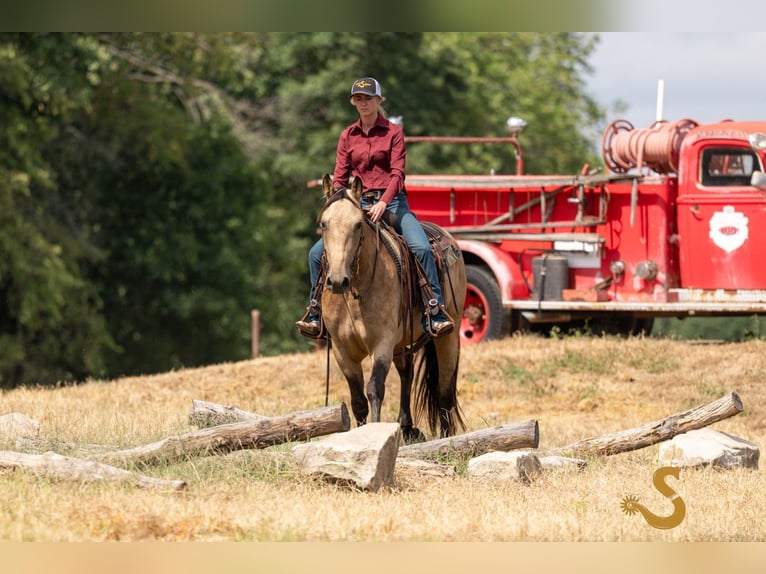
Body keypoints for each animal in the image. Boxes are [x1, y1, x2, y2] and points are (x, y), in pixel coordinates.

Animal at [316, 173, 467, 441]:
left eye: (358, 224)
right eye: (324, 224)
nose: (337, 281)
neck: (354, 293)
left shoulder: (382, 343)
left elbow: (374, 389)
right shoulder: (342, 351)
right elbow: (358, 400)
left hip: (448, 335)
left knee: (445, 389)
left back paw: (446, 438)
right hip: (402, 342)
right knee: (407, 373)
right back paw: (406, 427)